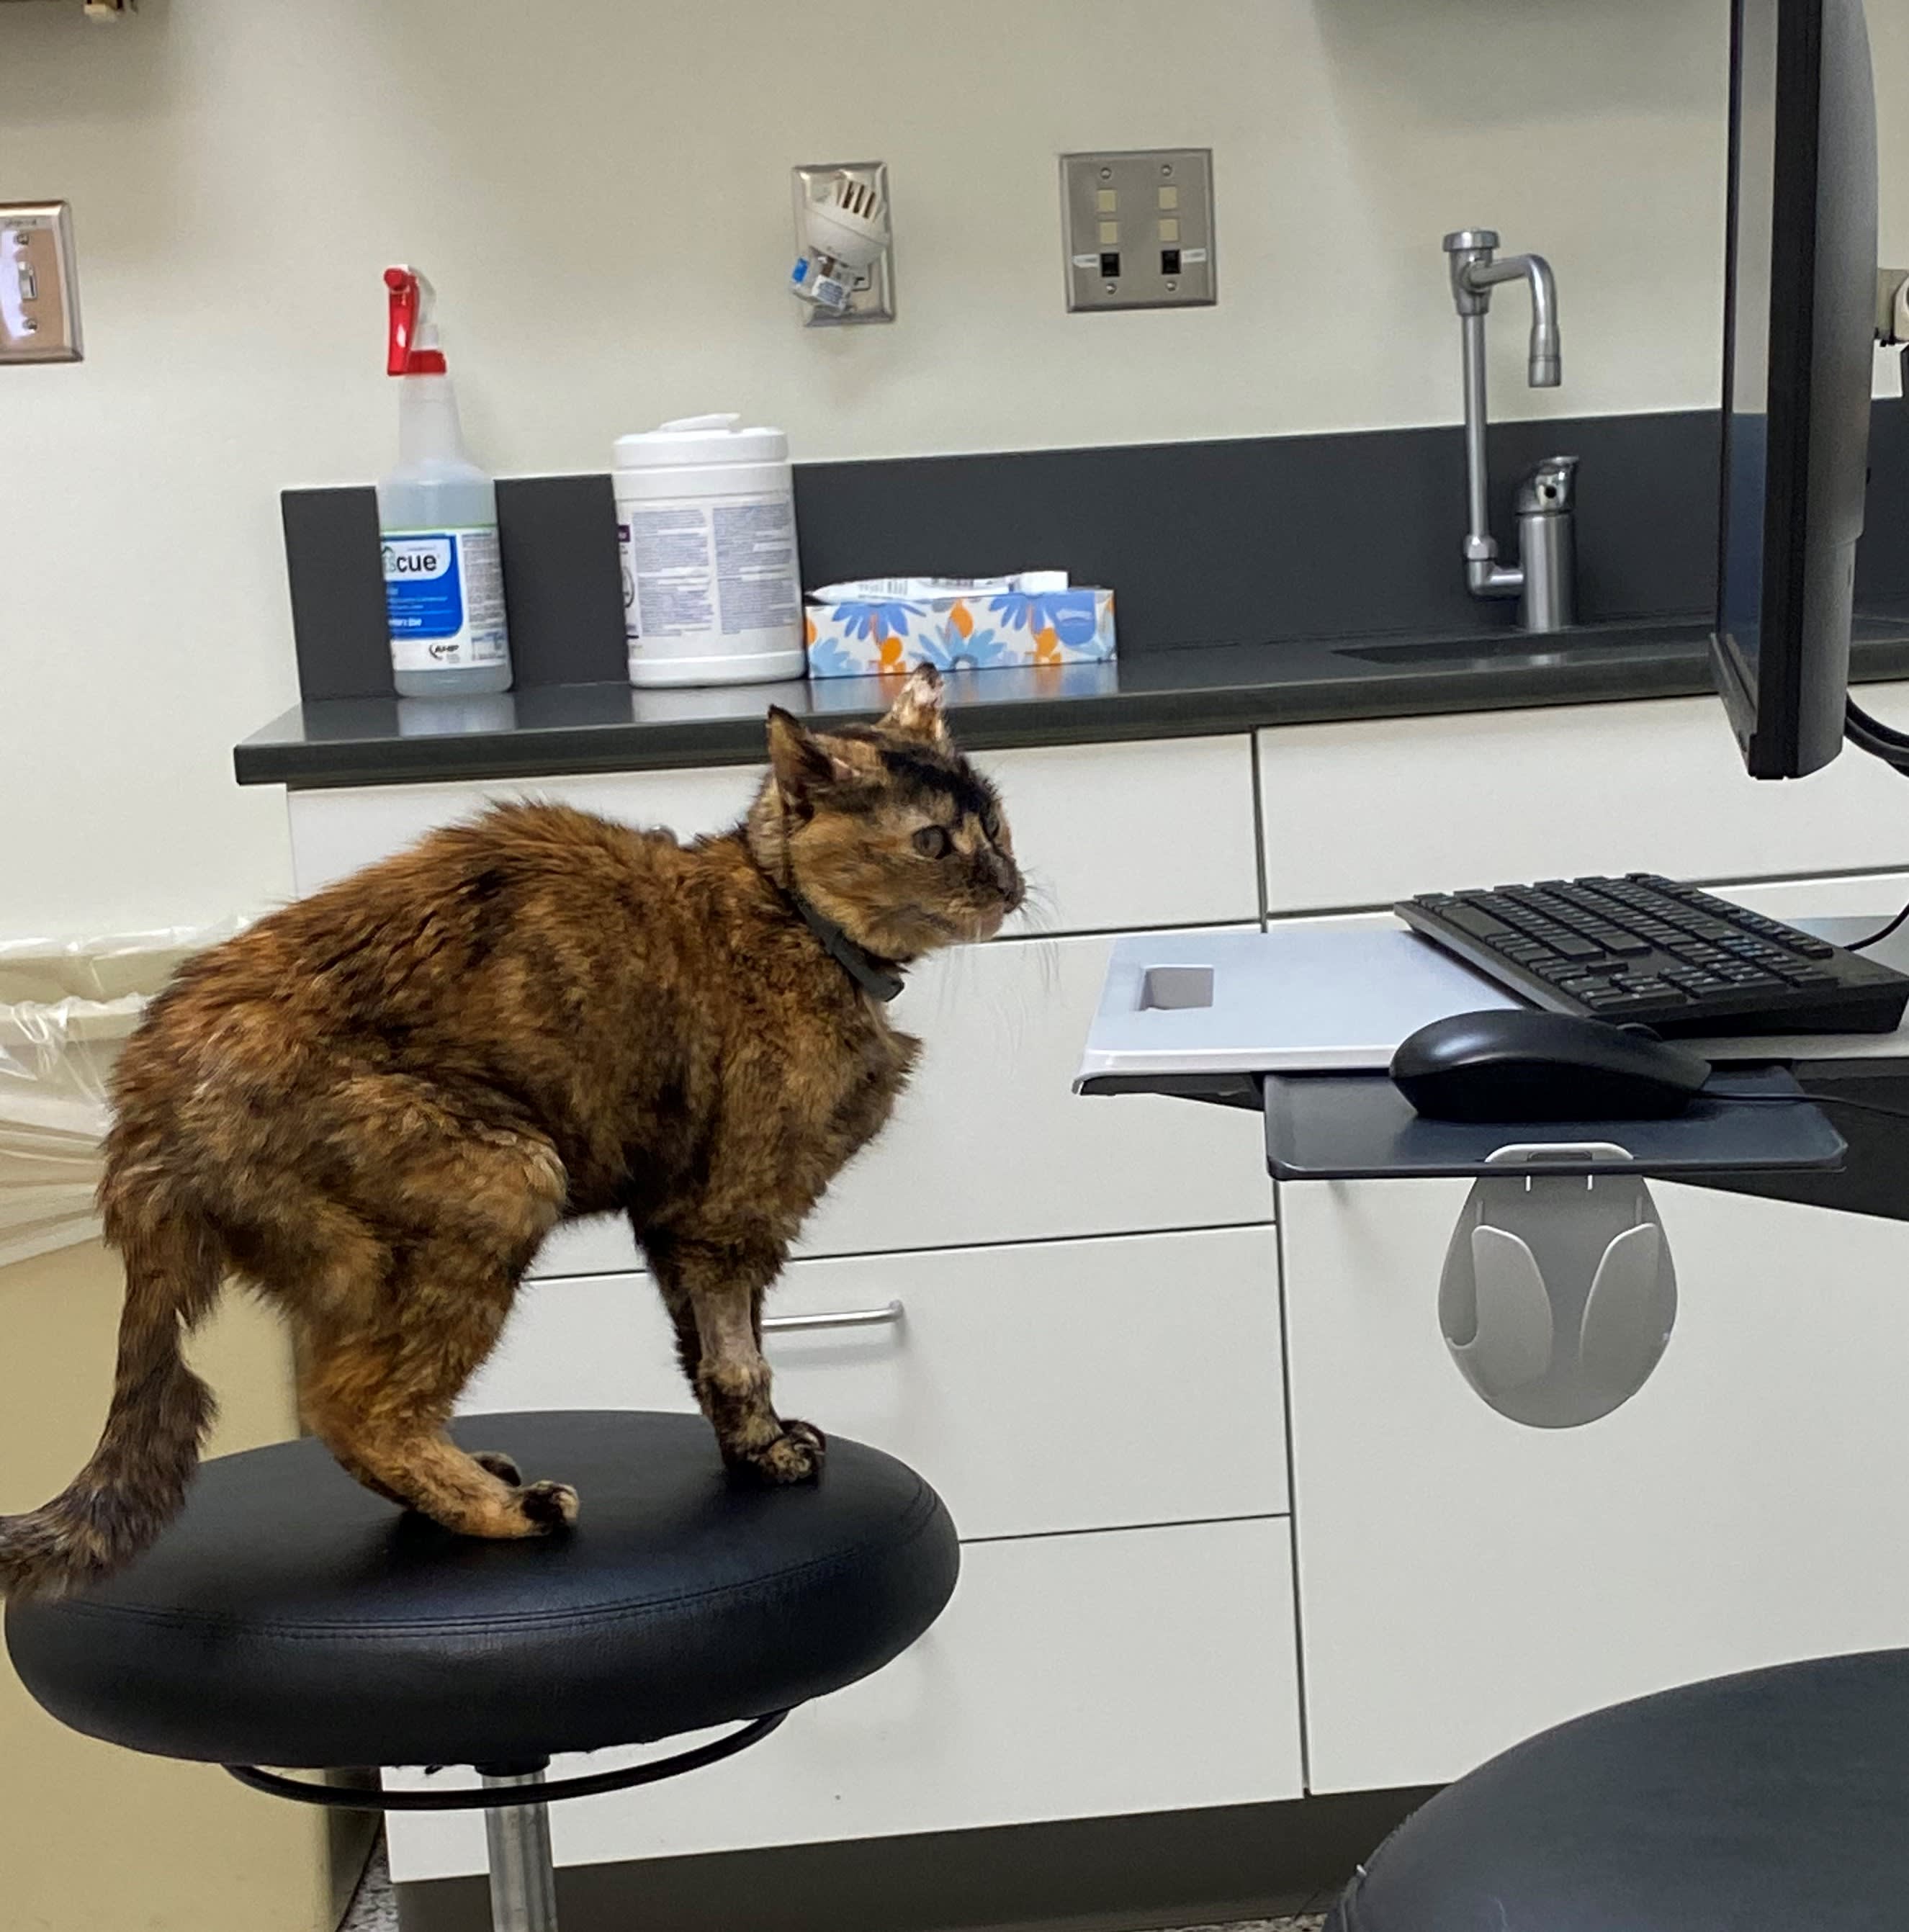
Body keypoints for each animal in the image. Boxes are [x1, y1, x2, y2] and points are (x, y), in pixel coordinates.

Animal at [0, 668, 1020, 1599]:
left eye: (998, 822)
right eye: (932, 841)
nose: (1008, 885)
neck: (794, 921)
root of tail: (140, 1113)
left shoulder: (675, 1217)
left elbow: (701, 1353)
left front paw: (748, 1448)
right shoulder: (730, 1213)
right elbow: (741, 1355)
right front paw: (768, 1450)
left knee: (348, 1394)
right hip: (503, 1175)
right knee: (355, 1404)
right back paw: (507, 1510)